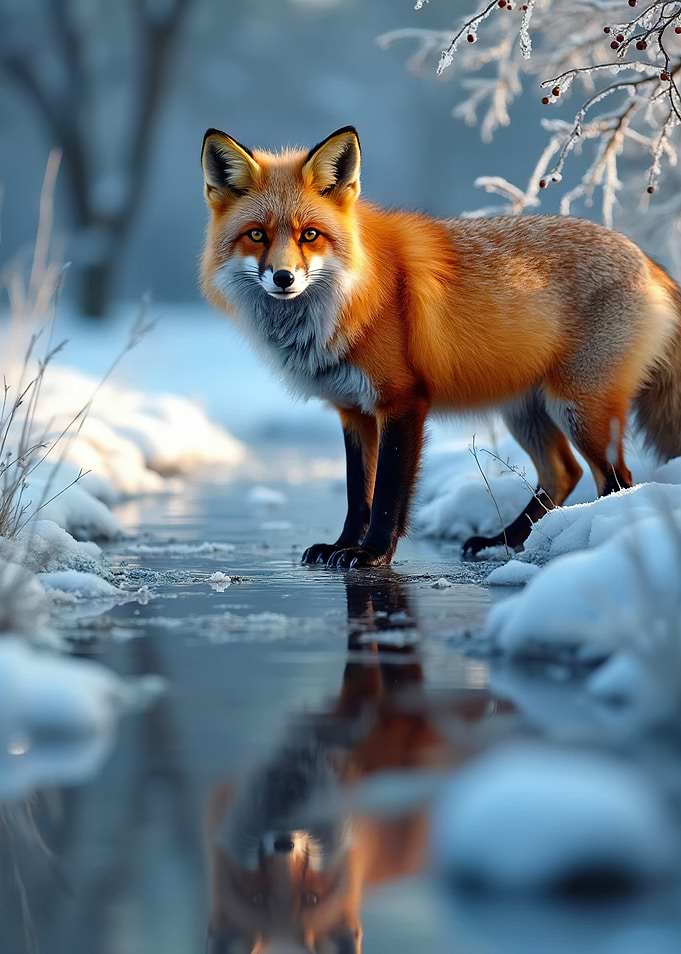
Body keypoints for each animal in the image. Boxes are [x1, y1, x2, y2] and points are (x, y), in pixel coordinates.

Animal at [200, 124, 681, 565]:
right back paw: (503, 541)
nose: (283, 278)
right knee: (564, 473)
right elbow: (359, 494)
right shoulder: (353, 410)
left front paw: (372, 553)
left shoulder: (403, 402)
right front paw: (341, 546)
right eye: (257, 235)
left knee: (616, 481)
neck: (353, 298)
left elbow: (388, 493)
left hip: (580, 409)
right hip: (526, 411)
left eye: (310, 235)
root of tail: (648, 260)